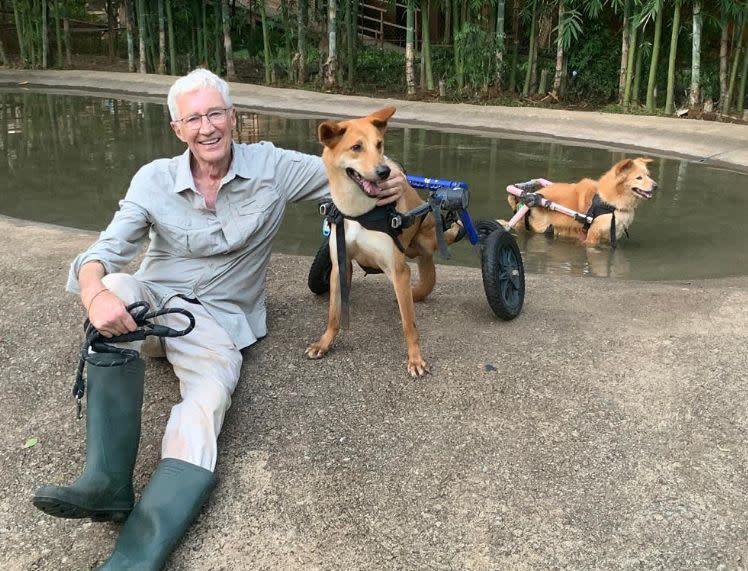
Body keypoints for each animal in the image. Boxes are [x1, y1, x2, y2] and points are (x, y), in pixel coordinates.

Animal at [304, 107, 462, 378]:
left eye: (379, 145)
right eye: (356, 147)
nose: (384, 171)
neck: (358, 211)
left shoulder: (399, 271)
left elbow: (409, 323)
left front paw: (415, 359)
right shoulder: (339, 266)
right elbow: (334, 314)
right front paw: (324, 343)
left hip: (427, 237)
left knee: (444, 237)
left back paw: (456, 226)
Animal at [506, 156, 656, 246]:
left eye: (648, 175)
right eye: (639, 178)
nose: (656, 186)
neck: (610, 203)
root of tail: (531, 195)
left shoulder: (610, 236)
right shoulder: (593, 235)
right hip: (539, 226)